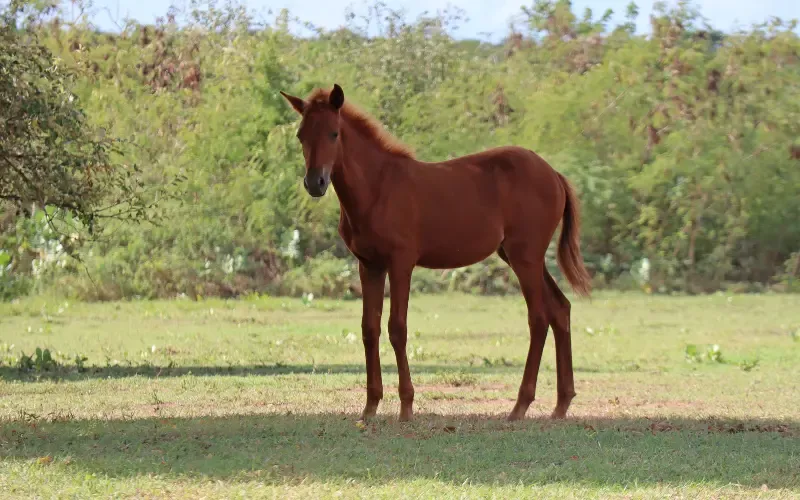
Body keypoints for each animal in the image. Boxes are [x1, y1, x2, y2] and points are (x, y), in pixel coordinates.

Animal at [278, 84, 592, 420]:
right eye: (300, 135)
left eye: (334, 133)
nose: (315, 183)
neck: (377, 188)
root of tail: (554, 174)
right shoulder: (369, 265)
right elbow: (369, 329)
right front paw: (370, 407)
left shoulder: (401, 263)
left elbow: (397, 328)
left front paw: (406, 407)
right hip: (519, 256)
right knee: (560, 309)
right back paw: (561, 404)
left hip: (525, 257)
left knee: (539, 317)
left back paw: (520, 406)